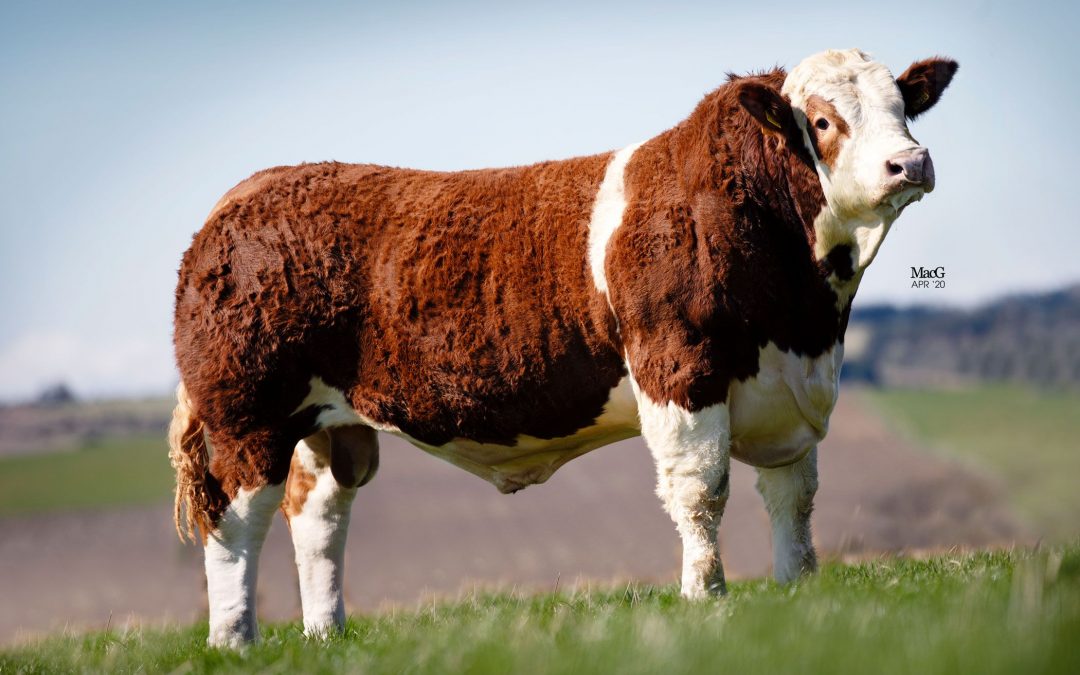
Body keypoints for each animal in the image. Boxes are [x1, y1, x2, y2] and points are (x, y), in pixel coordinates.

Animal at [172, 49, 959, 643]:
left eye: (904, 106)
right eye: (823, 121)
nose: (911, 162)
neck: (803, 311)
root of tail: (243, 195)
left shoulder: (793, 395)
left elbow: (794, 500)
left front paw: (800, 595)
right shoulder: (679, 369)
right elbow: (701, 490)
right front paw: (706, 599)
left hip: (327, 425)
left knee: (316, 518)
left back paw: (326, 635)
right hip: (245, 417)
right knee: (235, 523)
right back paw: (234, 640)